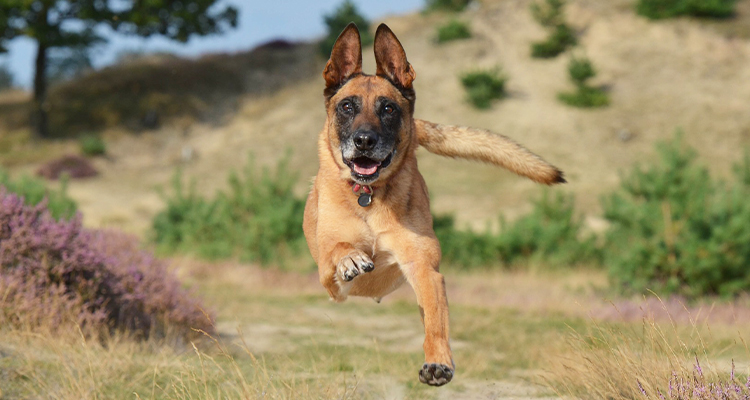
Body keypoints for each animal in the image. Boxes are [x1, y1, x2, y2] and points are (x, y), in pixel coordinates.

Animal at [304, 23, 564, 386]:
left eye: (388, 108)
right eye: (347, 107)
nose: (365, 141)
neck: (369, 197)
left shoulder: (425, 269)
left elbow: (436, 324)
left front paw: (438, 362)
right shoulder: (329, 280)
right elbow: (339, 248)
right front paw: (351, 257)